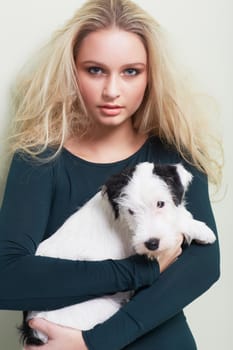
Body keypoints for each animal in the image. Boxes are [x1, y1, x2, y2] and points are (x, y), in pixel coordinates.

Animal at [19, 161, 216, 344]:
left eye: (160, 204)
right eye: (131, 211)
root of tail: (35, 333)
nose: (151, 244)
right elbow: (177, 224)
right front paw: (201, 229)